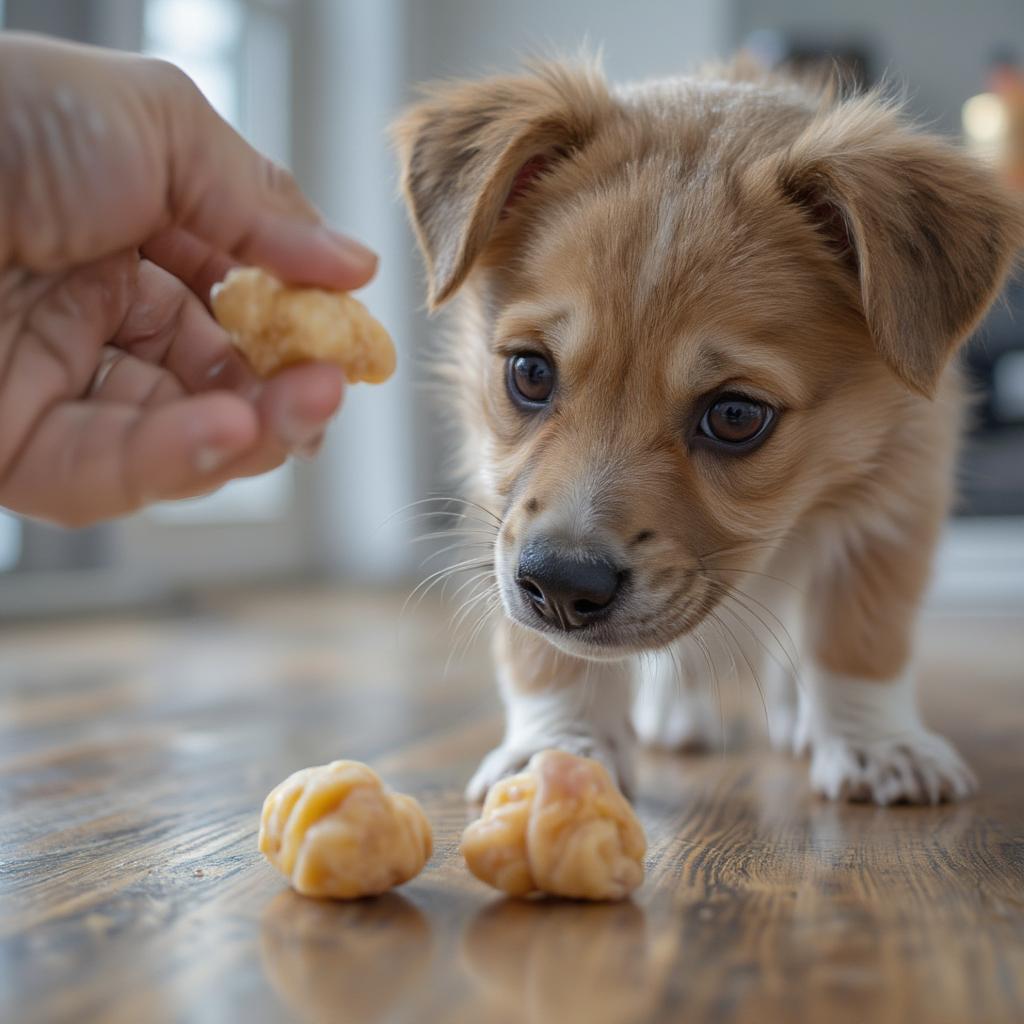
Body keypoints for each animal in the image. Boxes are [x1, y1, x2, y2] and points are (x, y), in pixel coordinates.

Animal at [393, 58, 1024, 806]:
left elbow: (860, 636)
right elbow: (542, 654)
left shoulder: (894, 499)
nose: (561, 587)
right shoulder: (500, 499)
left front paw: (877, 744)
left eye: (735, 416)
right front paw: (555, 749)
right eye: (530, 373)